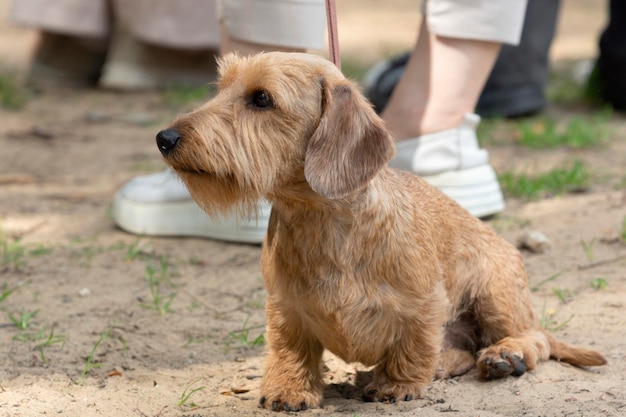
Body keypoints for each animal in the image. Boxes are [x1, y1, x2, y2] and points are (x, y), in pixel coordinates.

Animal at [156, 51, 604, 410]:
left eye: (262, 98)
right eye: (221, 89)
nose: (165, 137)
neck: (320, 223)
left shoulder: (424, 304)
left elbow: (414, 346)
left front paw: (397, 384)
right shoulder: (285, 307)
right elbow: (289, 350)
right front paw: (289, 389)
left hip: (495, 294)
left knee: (534, 339)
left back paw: (503, 356)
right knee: (463, 349)